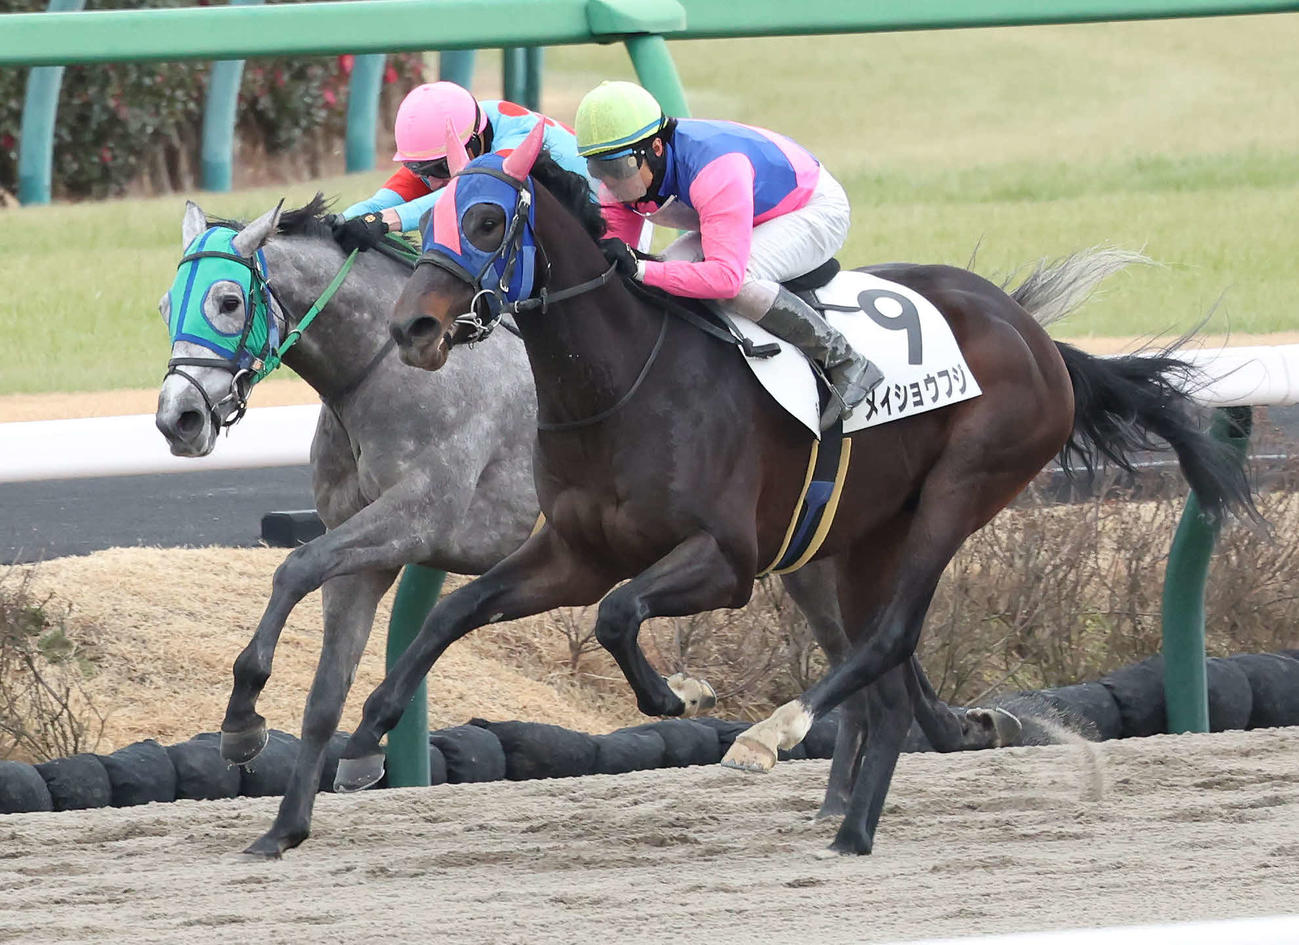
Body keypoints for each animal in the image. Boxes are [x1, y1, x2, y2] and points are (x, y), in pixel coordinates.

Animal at [153, 197, 1014, 857]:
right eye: (166, 306)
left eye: (226, 300)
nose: (177, 418)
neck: (384, 370)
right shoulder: (371, 553)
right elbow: (324, 691)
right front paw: (286, 824)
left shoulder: (411, 521)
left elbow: (293, 567)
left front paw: (241, 727)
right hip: (803, 558)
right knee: (869, 669)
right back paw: (845, 794)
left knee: (874, 663)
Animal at [344, 121, 1258, 856]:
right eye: (429, 216)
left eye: (487, 220)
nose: (411, 328)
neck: (624, 380)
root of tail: (1034, 335)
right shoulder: (575, 551)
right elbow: (456, 614)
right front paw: (361, 741)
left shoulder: (727, 561)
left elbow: (616, 614)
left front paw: (682, 693)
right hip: (862, 536)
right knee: (879, 669)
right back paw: (852, 825)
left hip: (961, 488)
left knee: (887, 640)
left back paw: (775, 737)